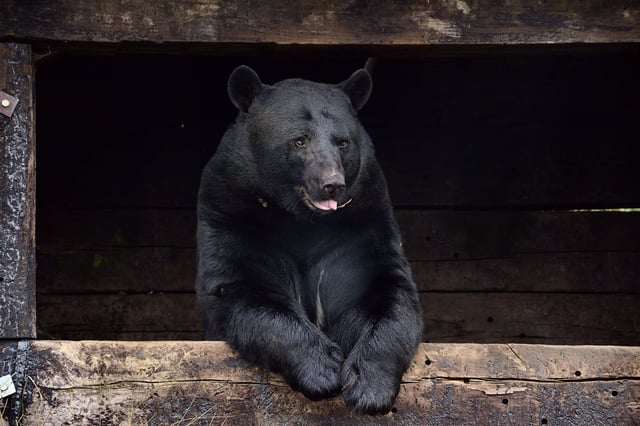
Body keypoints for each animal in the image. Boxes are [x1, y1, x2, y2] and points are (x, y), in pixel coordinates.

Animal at [195, 65, 423, 415]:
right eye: (299, 140)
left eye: (342, 142)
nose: (333, 184)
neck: (300, 220)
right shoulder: (230, 214)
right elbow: (247, 289)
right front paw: (322, 369)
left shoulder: (363, 222)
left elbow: (385, 293)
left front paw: (369, 388)